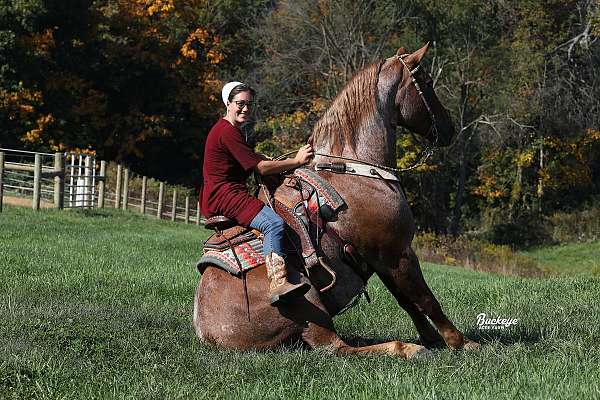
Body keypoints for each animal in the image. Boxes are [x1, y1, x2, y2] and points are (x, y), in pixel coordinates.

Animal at [195, 44, 480, 360]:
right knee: (336, 347)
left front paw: (432, 338)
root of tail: (208, 332)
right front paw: (461, 342)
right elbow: (426, 299)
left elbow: (407, 301)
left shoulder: (381, 259)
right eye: (427, 82)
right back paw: (405, 348)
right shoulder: (398, 252)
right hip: (309, 299)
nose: (449, 128)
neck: (356, 169)